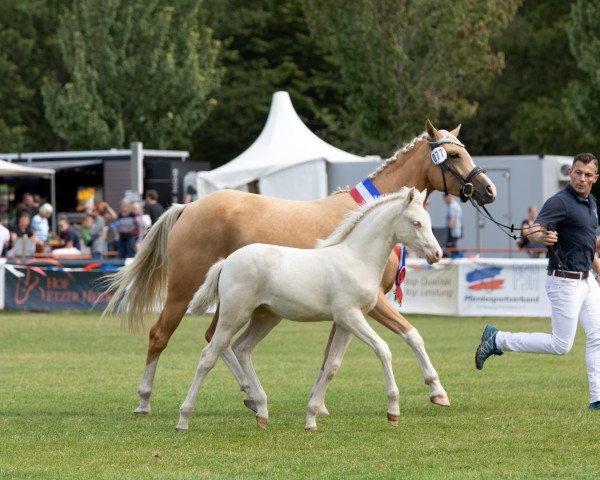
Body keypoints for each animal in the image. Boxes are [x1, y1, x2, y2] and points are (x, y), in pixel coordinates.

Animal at [176, 188, 442, 432]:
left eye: (428, 222)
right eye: (416, 222)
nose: (437, 253)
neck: (356, 259)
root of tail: (226, 262)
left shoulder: (346, 322)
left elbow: (332, 365)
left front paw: (312, 417)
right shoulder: (350, 316)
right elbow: (383, 350)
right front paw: (393, 411)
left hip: (265, 318)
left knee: (243, 349)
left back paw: (261, 411)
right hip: (233, 315)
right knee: (208, 357)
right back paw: (184, 419)